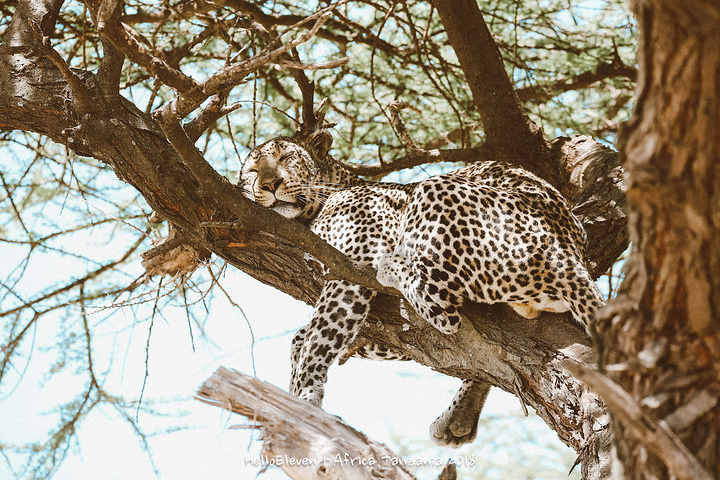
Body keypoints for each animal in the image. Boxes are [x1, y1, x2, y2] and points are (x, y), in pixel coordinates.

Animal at [239, 129, 604, 448]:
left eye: (285, 157)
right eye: (253, 171)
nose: (269, 184)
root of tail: (565, 252)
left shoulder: (353, 260)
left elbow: (320, 335)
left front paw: (303, 397)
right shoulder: (395, 334)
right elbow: (306, 336)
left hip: (435, 190)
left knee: (444, 311)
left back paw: (392, 266)